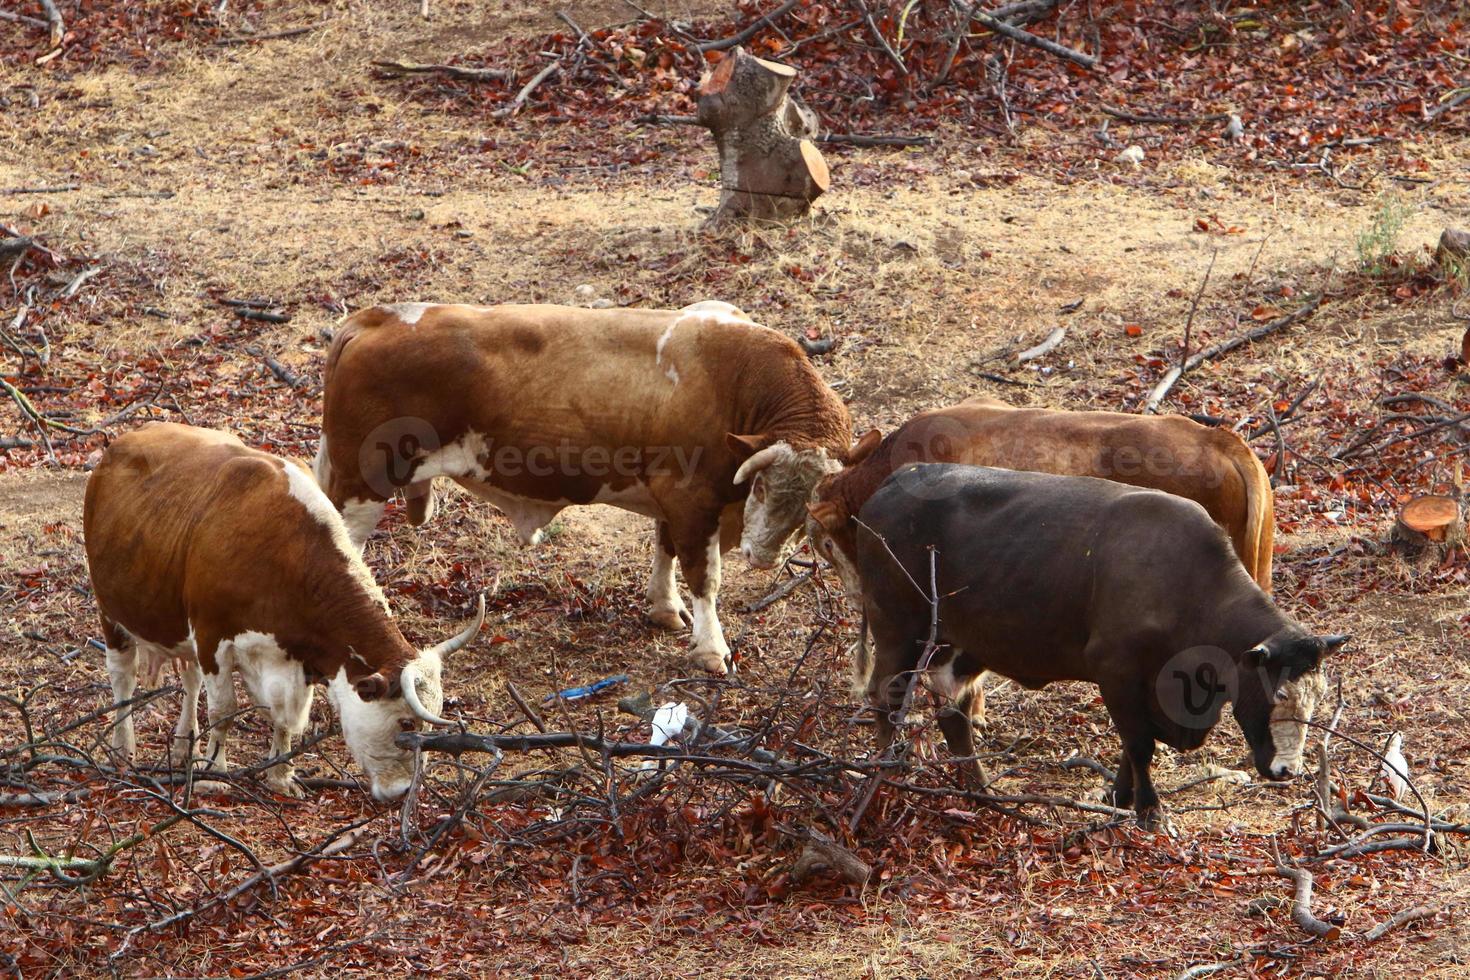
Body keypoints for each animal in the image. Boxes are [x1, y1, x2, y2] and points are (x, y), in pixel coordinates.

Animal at [84, 426, 482, 799]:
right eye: (405, 724)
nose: (402, 792)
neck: (287, 552)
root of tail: (125, 441)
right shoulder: (213, 637)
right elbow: (223, 712)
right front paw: (214, 775)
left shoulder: (298, 656)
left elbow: (290, 718)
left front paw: (280, 775)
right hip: (110, 611)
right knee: (123, 679)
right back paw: (123, 749)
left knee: (190, 679)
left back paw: (184, 747)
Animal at [316, 299, 858, 675]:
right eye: (762, 488)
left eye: (807, 512)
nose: (763, 556)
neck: (737, 382)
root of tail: (376, 317)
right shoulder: (692, 499)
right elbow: (705, 577)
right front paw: (712, 650)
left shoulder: (672, 499)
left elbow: (665, 550)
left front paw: (664, 608)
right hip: (362, 483)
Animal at [852, 467, 1346, 828]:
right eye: (1276, 694)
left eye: (1318, 698)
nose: (1287, 771)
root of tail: (893, 483)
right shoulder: (1117, 672)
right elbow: (1140, 743)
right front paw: (1150, 811)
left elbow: (1133, 743)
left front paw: (1120, 796)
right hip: (899, 631)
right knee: (886, 698)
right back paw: (887, 775)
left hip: (959, 644)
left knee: (953, 711)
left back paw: (980, 790)